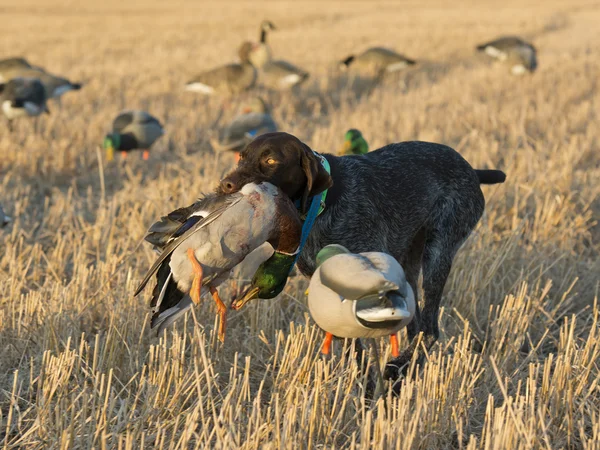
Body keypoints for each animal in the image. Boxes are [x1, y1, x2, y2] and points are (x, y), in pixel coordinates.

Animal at [218, 131, 504, 386]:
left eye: (270, 160)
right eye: (241, 157)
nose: (226, 185)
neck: (319, 207)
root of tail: (471, 170)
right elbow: (353, 348)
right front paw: (363, 389)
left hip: (438, 252)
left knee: (429, 329)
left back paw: (397, 368)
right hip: (409, 261)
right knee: (416, 325)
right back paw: (404, 375)